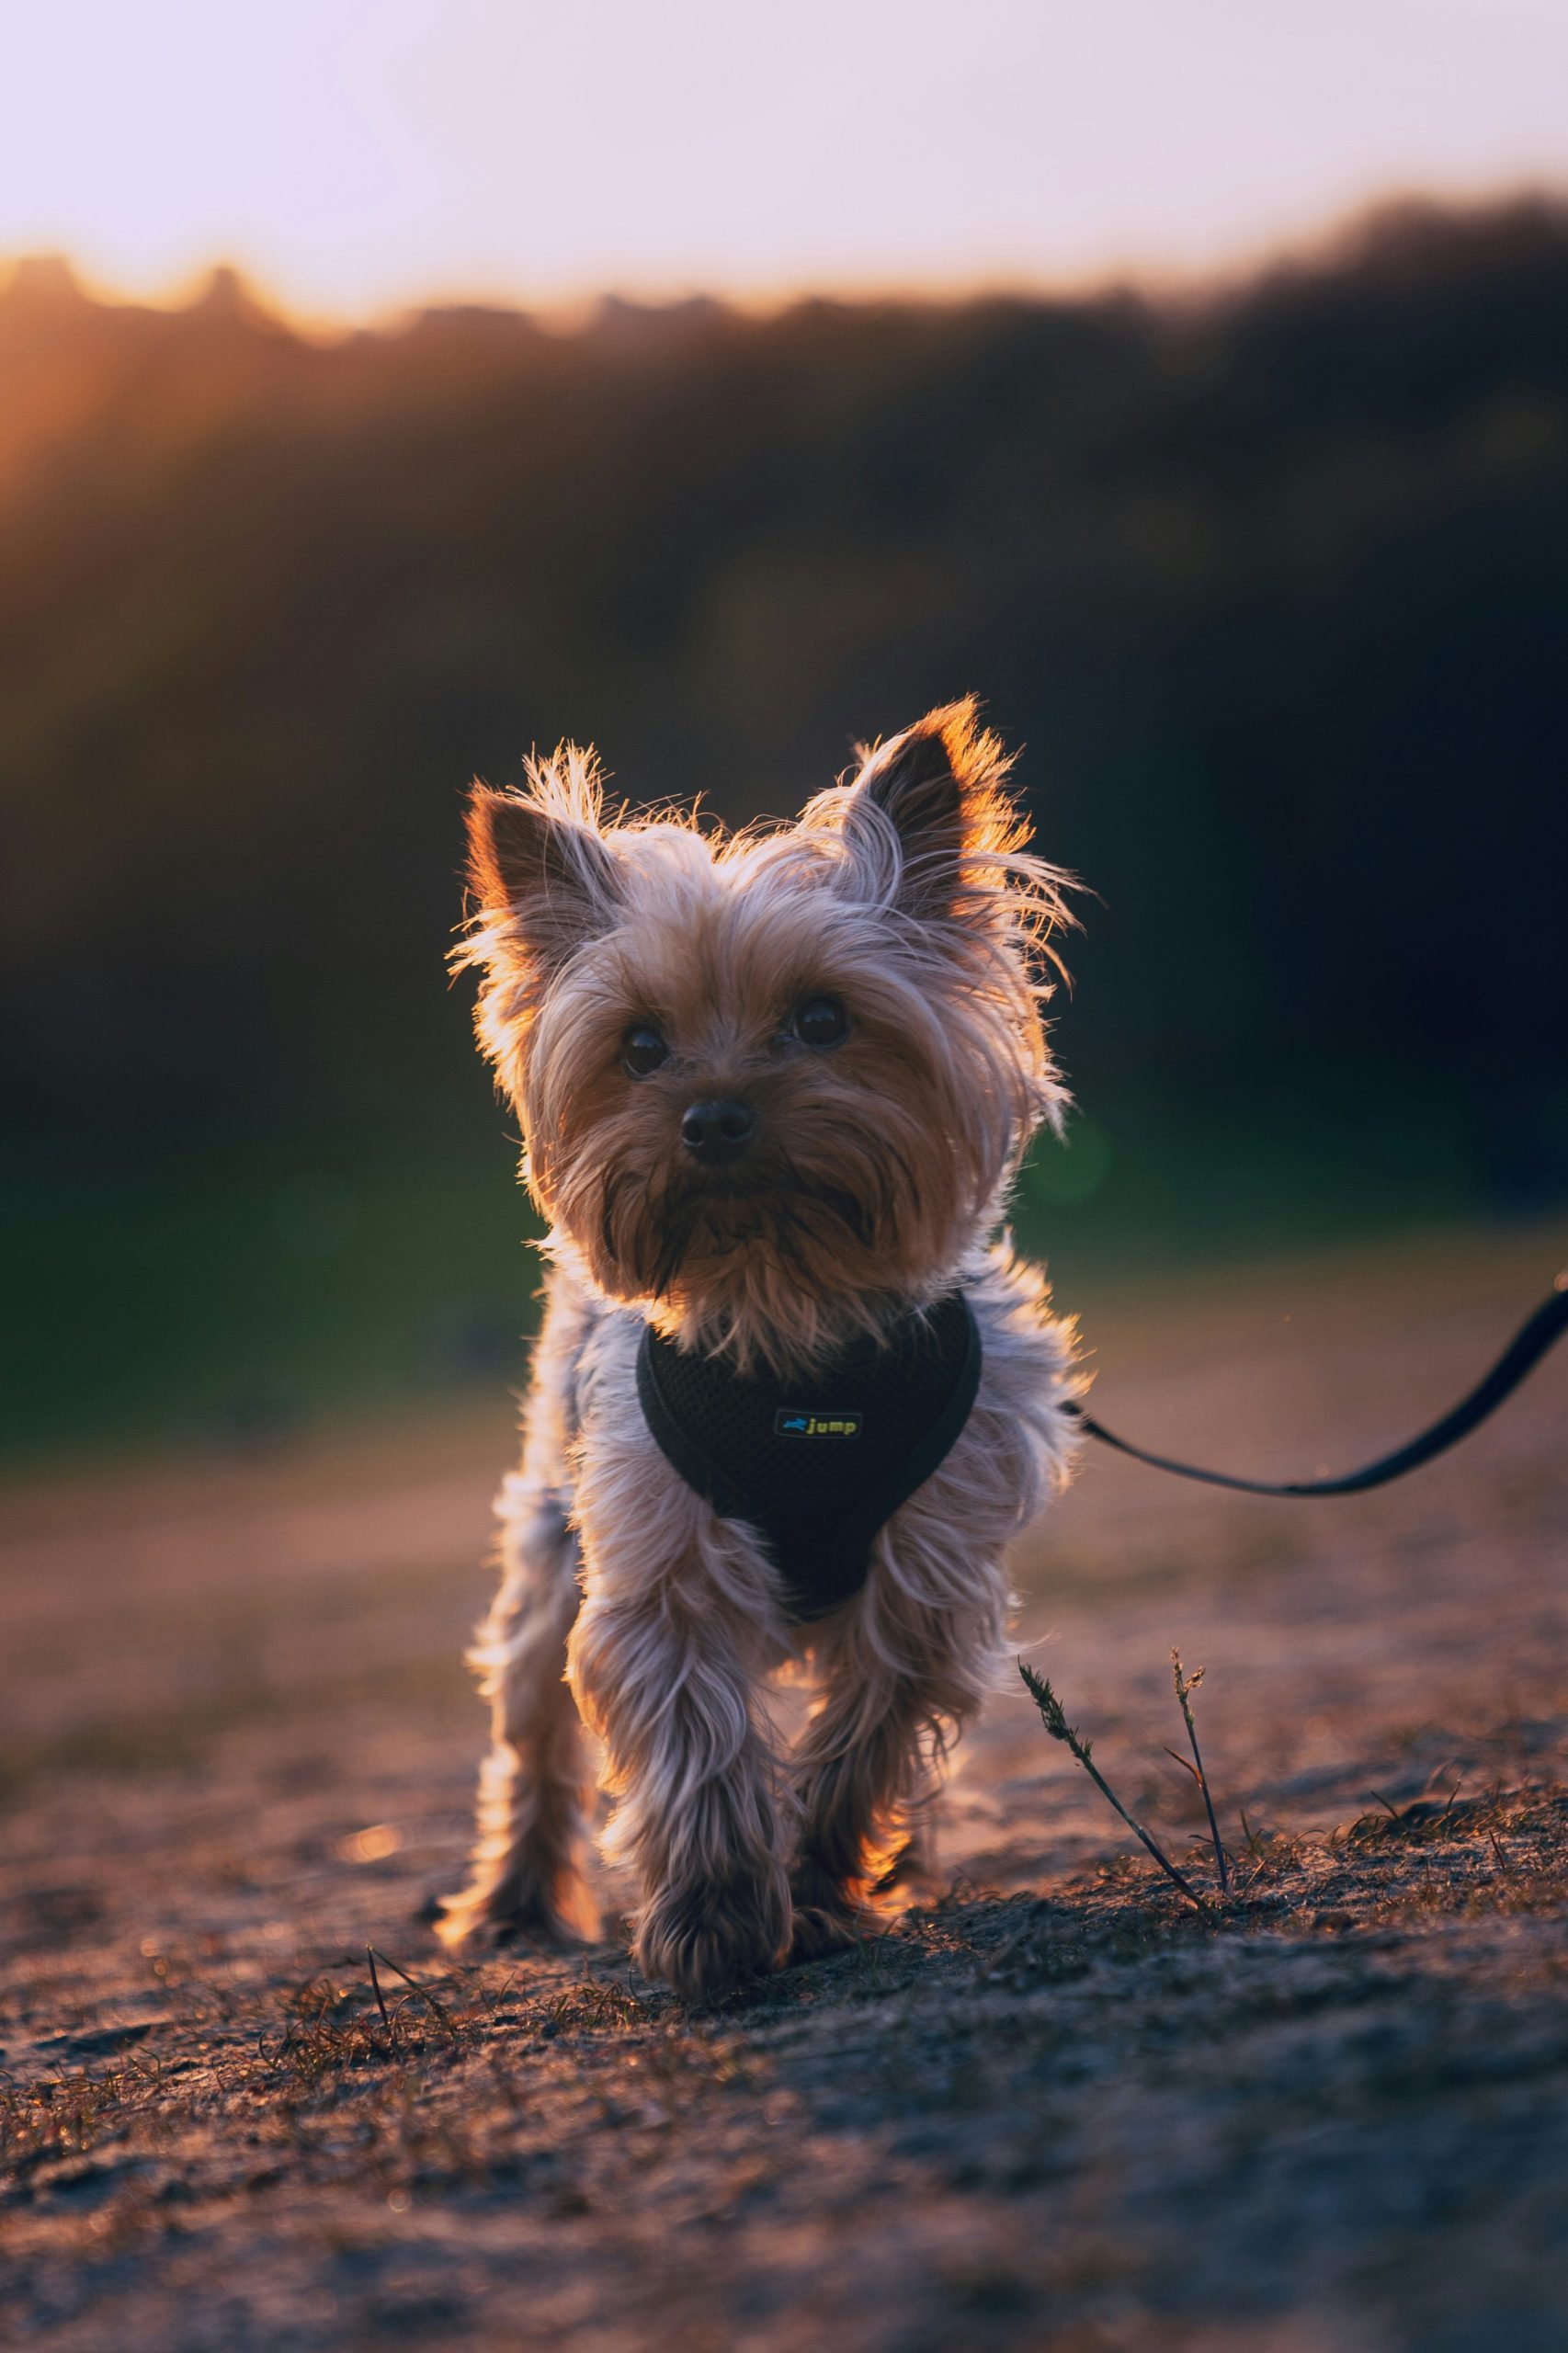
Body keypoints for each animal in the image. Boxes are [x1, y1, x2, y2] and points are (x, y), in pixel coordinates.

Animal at [433, 700, 1083, 2005]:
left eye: (823, 1018)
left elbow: (859, 1746)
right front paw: (715, 1920)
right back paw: (514, 1905)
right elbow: (696, 1744)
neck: (790, 1326)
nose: (714, 1114)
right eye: (639, 1046)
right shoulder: (657, 1562)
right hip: (547, 1546)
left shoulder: (927, 1576)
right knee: (532, 1740)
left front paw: (824, 1886)